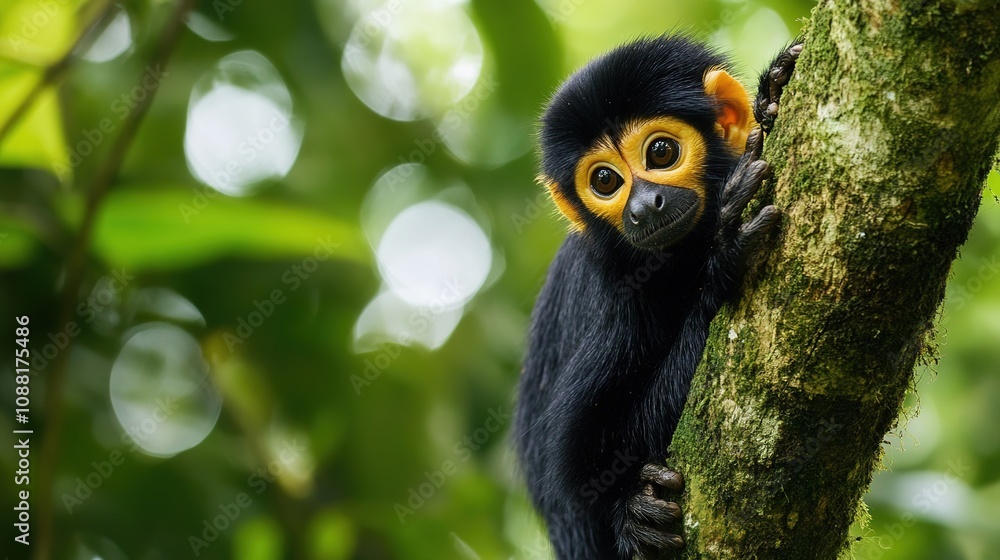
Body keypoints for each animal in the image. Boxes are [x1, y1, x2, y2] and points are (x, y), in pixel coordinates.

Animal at [514, 35, 801, 560]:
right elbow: (582, 466)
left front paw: (771, 95)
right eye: (605, 180)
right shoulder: (620, 301)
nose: (645, 206)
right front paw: (724, 255)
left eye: (661, 152)